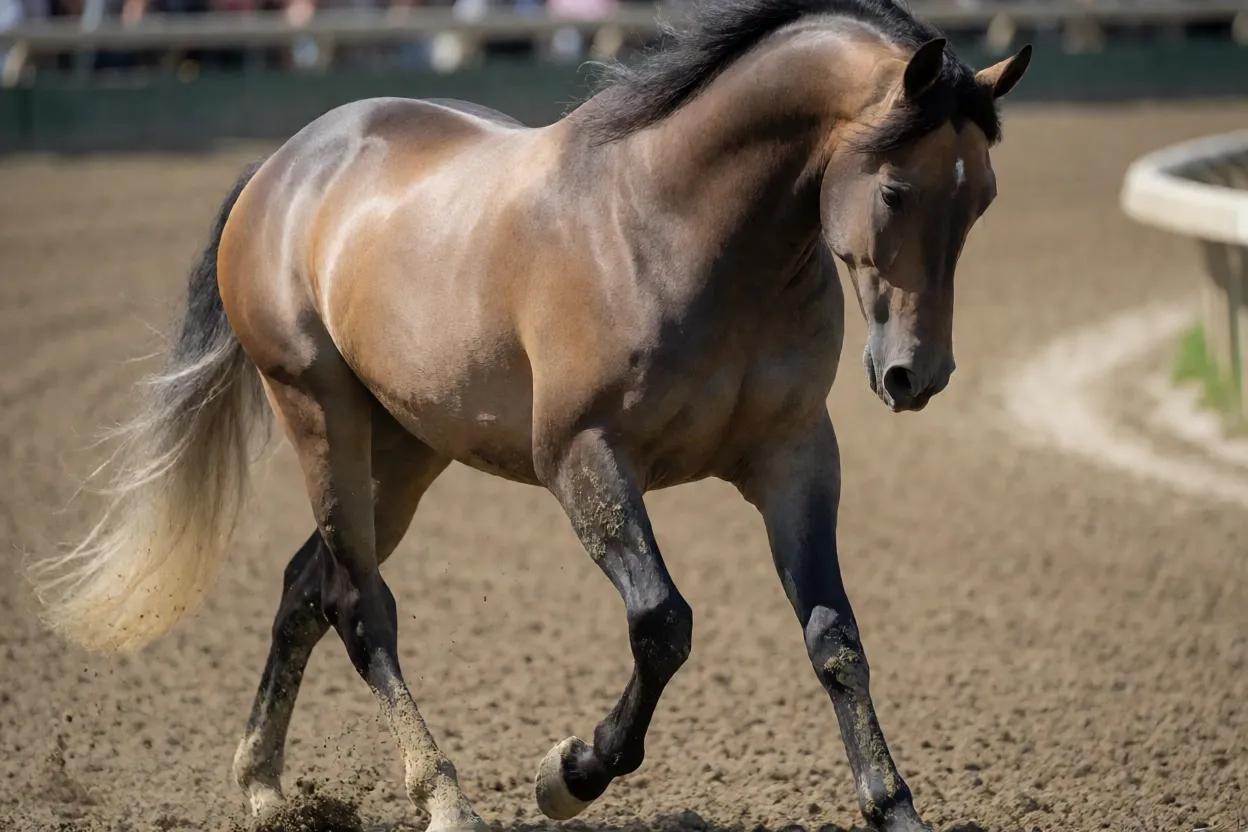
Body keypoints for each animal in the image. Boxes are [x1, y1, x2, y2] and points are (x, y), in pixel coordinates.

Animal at [28, 0, 1030, 829]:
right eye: (896, 189)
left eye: (983, 196)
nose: (916, 374)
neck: (677, 230)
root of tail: (282, 165)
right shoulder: (584, 459)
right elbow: (663, 624)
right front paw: (571, 772)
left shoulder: (793, 457)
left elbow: (834, 636)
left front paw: (894, 807)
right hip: (320, 417)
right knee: (359, 605)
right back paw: (442, 797)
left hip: (407, 451)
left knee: (304, 588)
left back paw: (265, 786)